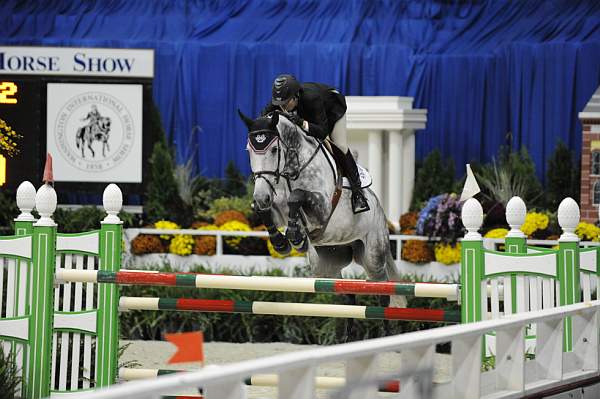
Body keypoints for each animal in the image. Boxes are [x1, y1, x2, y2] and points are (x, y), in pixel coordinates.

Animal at [237, 110, 406, 316]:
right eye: (249, 150)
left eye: (274, 150)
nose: (261, 196)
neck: (292, 169)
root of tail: (381, 210)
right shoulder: (276, 206)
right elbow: (262, 210)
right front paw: (281, 242)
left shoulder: (322, 208)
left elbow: (296, 196)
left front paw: (296, 235)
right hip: (326, 266)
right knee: (346, 294)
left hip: (373, 255)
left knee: (382, 289)